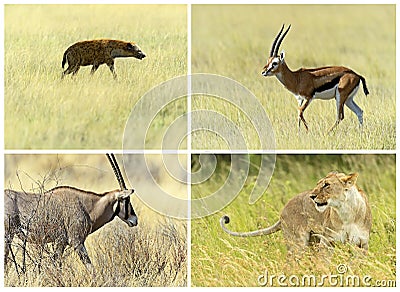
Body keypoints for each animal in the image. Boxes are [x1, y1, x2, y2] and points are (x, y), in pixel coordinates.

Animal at [3, 154, 138, 272]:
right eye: (126, 199)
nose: (135, 220)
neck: (87, 207)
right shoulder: (76, 241)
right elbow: (89, 267)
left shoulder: (62, 242)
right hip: (7, 236)